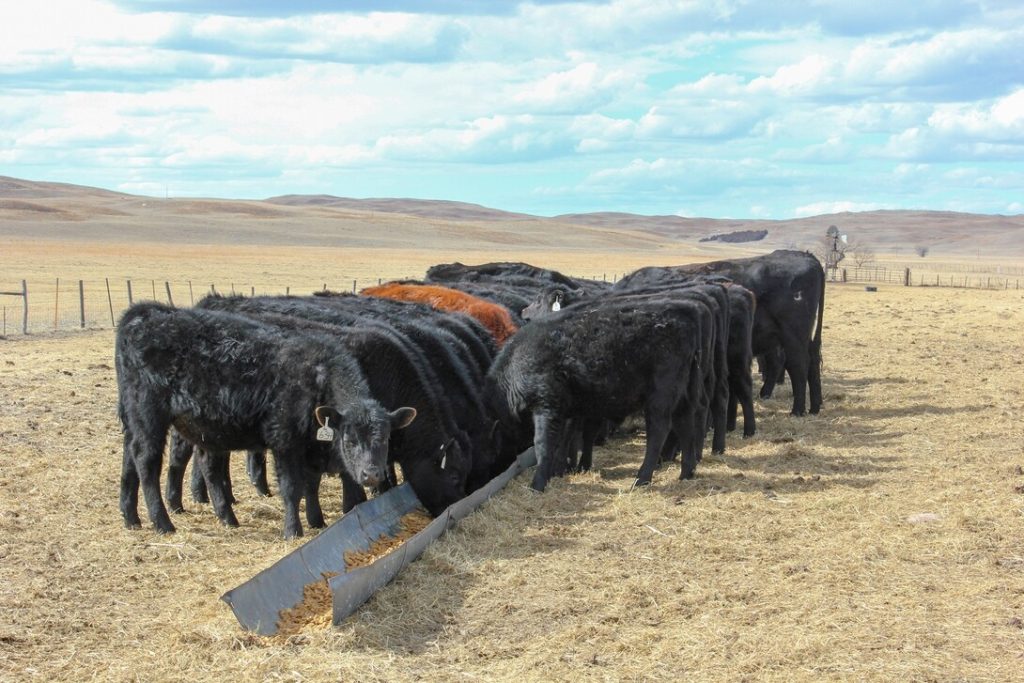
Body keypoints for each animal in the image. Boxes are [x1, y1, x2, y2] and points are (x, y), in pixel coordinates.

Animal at [115, 302, 416, 538]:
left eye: (386, 438)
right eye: (349, 440)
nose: (371, 474)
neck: (317, 377)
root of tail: (145, 313)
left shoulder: (311, 446)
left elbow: (312, 483)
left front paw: (317, 520)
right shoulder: (283, 439)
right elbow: (292, 487)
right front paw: (293, 530)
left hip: (150, 422)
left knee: (136, 457)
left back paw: (135, 517)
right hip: (148, 415)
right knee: (146, 461)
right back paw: (162, 522)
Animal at [615, 250, 825, 416]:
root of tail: (806, 256)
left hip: (793, 335)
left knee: (798, 364)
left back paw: (797, 410)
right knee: (808, 361)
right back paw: (813, 406)